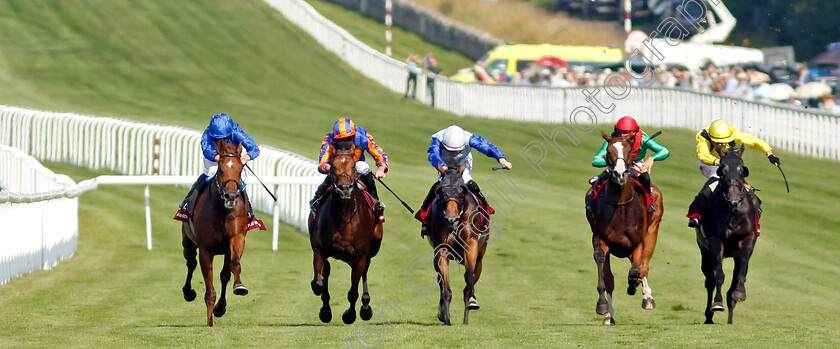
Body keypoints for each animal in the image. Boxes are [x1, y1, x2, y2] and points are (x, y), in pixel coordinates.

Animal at [180, 138, 249, 326]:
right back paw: (188, 292)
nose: (231, 196)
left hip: (225, 251)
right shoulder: (206, 249)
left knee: (224, 275)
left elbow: (234, 266)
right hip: (188, 242)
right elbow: (209, 288)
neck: (222, 210)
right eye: (221, 168)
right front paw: (209, 322)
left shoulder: (236, 238)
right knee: (190, 263)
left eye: (240, 168)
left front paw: (239, 287)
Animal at [308, 141, 384, 324]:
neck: (342, 216)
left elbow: (353, 292)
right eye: (333, 166)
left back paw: (365, 308)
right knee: (327, 272)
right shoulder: (319, 249)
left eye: (353, 166)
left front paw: (349, 315)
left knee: (364, 274)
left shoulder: (359, 256)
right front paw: (325, 310)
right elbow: (319, 283)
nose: (344, 188)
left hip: (369, 251)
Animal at [430, 162, 488, 324]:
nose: (452, 219)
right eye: (441, 190)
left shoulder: (471, 244)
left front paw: (472, 302)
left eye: (461, 190)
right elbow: (445, 287)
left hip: (480, 258)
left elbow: (469, 277)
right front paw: (446, 318)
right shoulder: (442, 248)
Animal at [584, 132, 664, 324]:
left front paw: (634, 286)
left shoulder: (637, 241)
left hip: (653, 230)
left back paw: (647, 297)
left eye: (629, 152)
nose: (620, 174)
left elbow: (636, 270)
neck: (620, 205)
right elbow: (606, 273)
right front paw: (603, 307)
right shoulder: (600, 238)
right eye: (608, 151)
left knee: (644, 266)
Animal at [696, 144, 760, 324]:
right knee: (709, 281)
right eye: (722, 170)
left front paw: (738, 292)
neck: (733, 212)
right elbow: (718, 275)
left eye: (742, 170)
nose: (734, 199)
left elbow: (740, 273)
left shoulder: (748, 239)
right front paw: (717, 304)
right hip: (704, 252)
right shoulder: (715, 241)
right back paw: (709, 316)